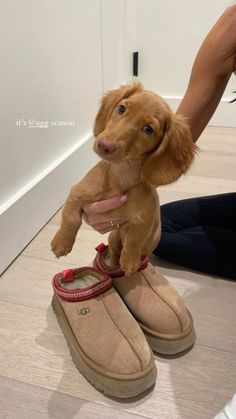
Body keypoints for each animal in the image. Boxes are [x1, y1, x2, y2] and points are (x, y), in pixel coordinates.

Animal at [51, 84, 197, 276]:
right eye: (121, 109)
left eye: (148, 129)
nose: (104, 145)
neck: (120, 177)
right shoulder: (76, 193)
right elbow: (71, 218)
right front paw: (62, 243)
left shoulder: (144, 221)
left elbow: (134, 240)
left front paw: (129, 262)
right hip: (113, 237)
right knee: (113, 252)